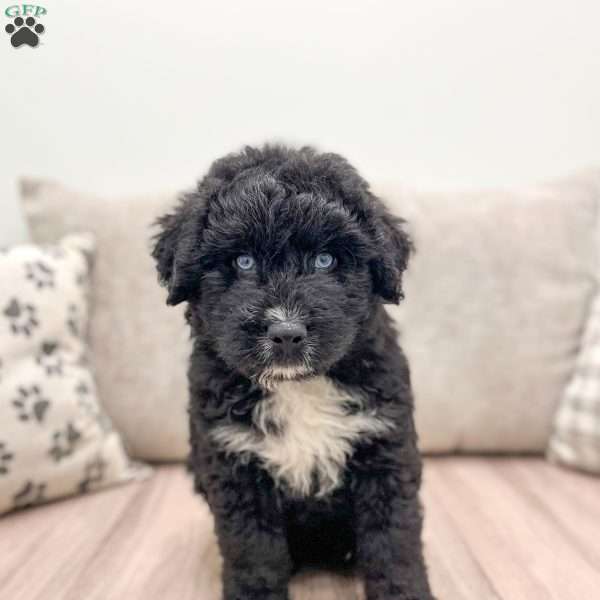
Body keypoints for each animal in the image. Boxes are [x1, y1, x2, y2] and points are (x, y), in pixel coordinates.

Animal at [150, 146, 432, 600]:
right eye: (243, 261)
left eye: (325, 259)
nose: (286, 333)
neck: (298, 387)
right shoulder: (235, 467)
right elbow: (253, 551)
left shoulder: (384, 449)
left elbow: (392, 541)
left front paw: (402, 592)